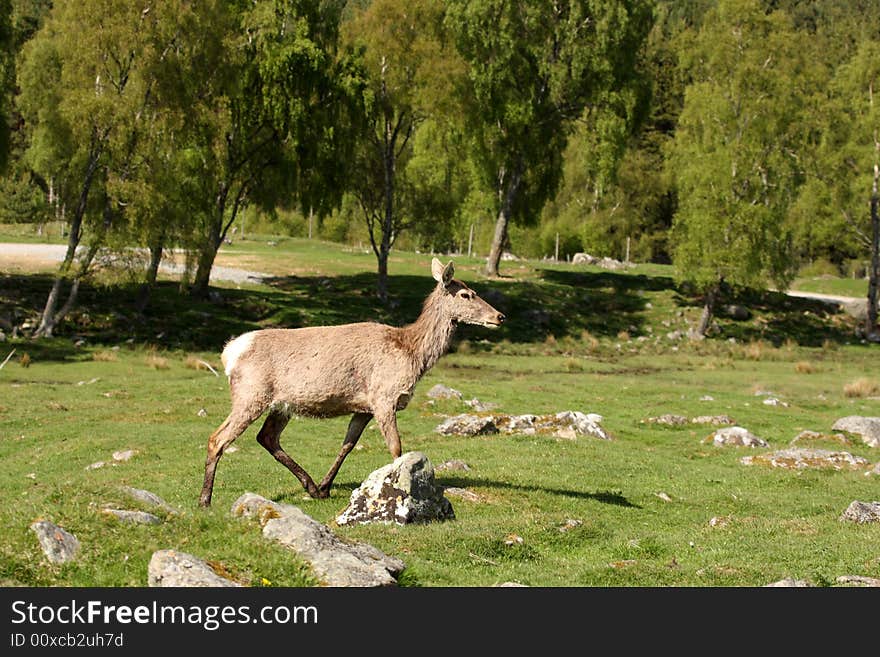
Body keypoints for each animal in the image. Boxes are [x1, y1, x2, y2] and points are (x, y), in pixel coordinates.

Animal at [198, 258, 502, 504]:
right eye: (466, 294)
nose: (500, 316)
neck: (411, 353)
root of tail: (229, 352)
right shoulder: (384, 396)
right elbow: (397, 448)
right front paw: (405, 490)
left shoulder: (363, 407)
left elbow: (347, 444)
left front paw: (326, 486)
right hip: (251, 394)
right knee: (217, 438)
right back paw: (205, 500)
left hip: (281, 404)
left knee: (267, 437)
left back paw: (311, 487)